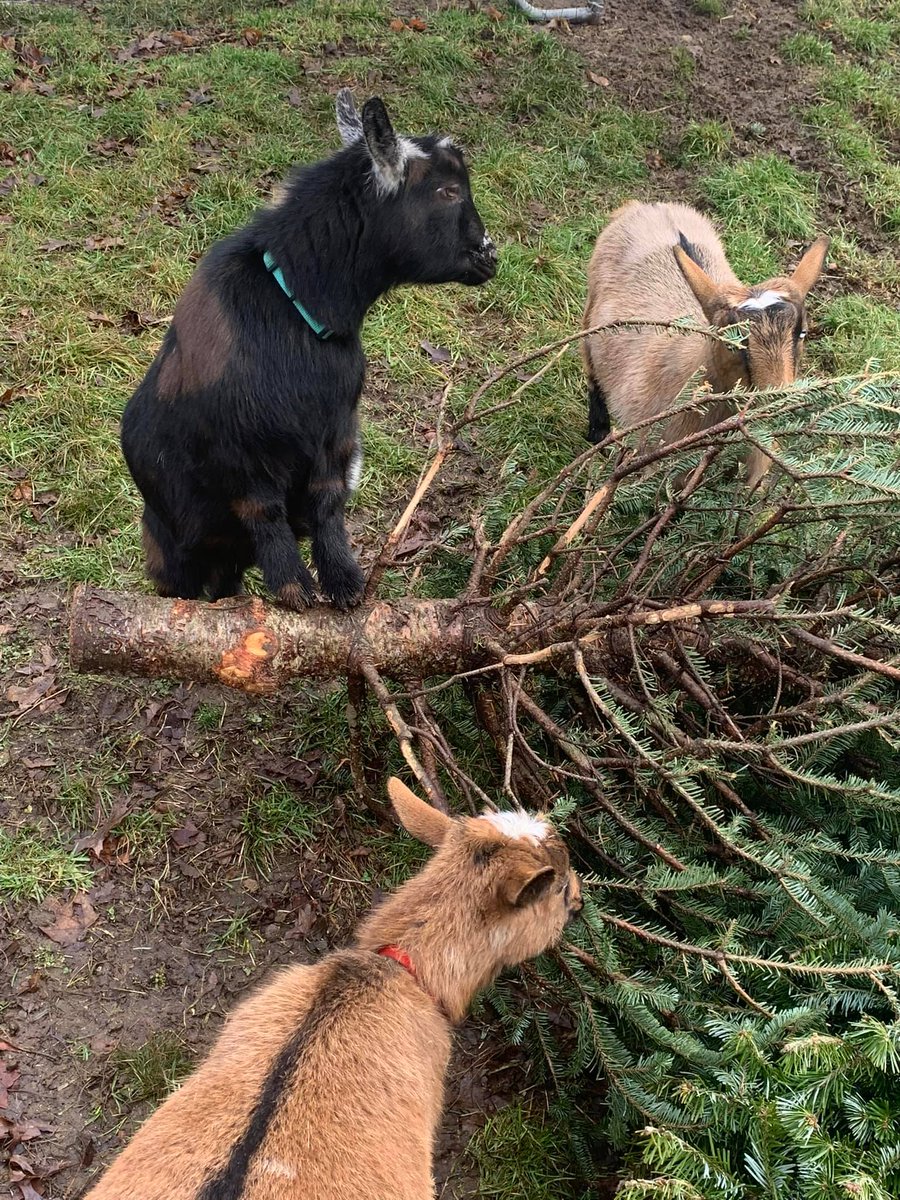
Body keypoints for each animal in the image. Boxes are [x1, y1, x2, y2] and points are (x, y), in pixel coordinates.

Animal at [121, 91, 497, 611]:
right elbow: (264, 512)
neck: (293, 306)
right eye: (448, 191)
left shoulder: (333, 433)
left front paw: (345, 583)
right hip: (172, 548)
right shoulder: (239, 450)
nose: (490, 255)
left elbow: (327, 505)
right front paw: (294, 587)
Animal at [582, 200, 829, 486]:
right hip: (590, 317)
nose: (779, 403)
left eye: (802, 333)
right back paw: (598, 435)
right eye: (731, 342)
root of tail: (648, 206)